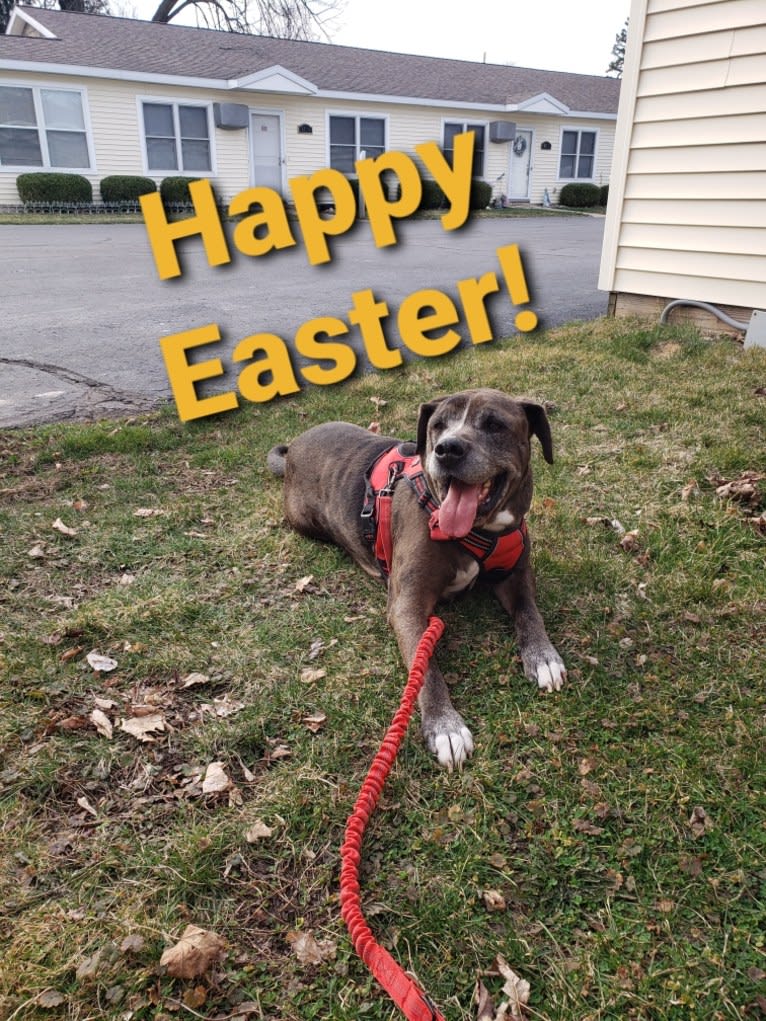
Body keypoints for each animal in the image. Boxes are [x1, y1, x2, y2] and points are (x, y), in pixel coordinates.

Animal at [267, 387, 563, 767]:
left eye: (495, 425)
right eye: (438, 425)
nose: (447, 449)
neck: (476, 531)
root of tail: (294, 447)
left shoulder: (517, 573)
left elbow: (529, 612)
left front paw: (543, 657)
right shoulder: (407, 605)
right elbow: (425, 669)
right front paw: (445, 726)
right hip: (304, 521)